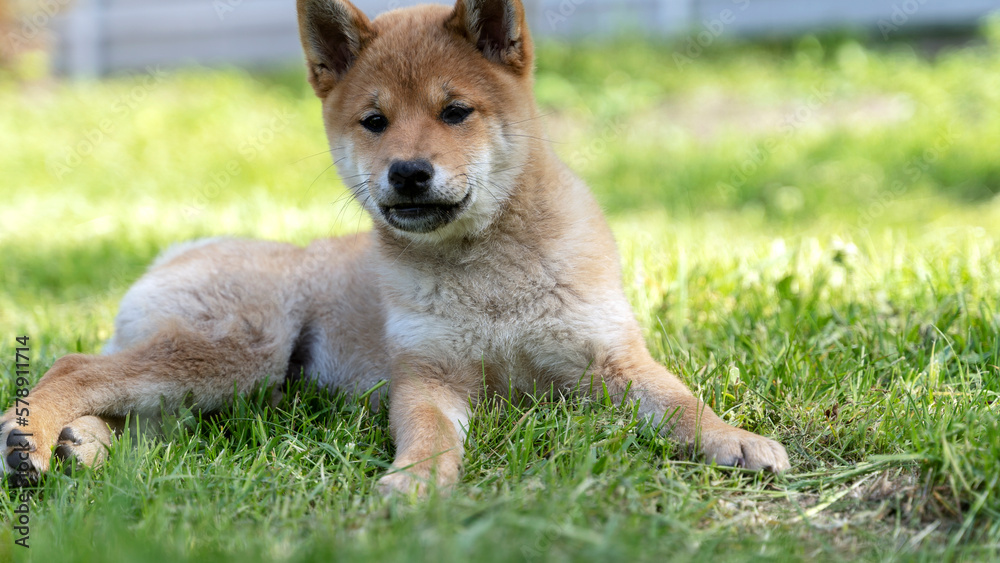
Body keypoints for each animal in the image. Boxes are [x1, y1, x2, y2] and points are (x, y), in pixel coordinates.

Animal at [3, 0, 792, 494]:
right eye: (375, 121)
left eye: (456, 111)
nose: (409, 171)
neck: (488, 275)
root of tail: (178, 250)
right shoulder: (427, 377)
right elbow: (431, 436)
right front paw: (416, 481)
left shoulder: (612, 359)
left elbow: (684, 402)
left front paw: (735, 437)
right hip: (235, 355)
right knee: (78, 367)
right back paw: (32, 438)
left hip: (227, 383)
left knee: (131, 406)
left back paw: (81, 443)